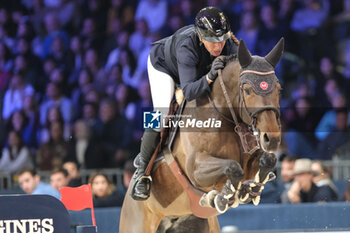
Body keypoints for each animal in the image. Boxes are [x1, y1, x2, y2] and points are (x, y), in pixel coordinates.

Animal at [119, 38, 284, 233]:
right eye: (247, 89)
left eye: (278, 89)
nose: (272, 139)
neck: (223, 115)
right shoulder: (195, 169)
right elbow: (233, 167)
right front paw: (224, 196)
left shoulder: (250, 161)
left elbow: (268, 160)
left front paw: (251, 189)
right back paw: (141, 184)